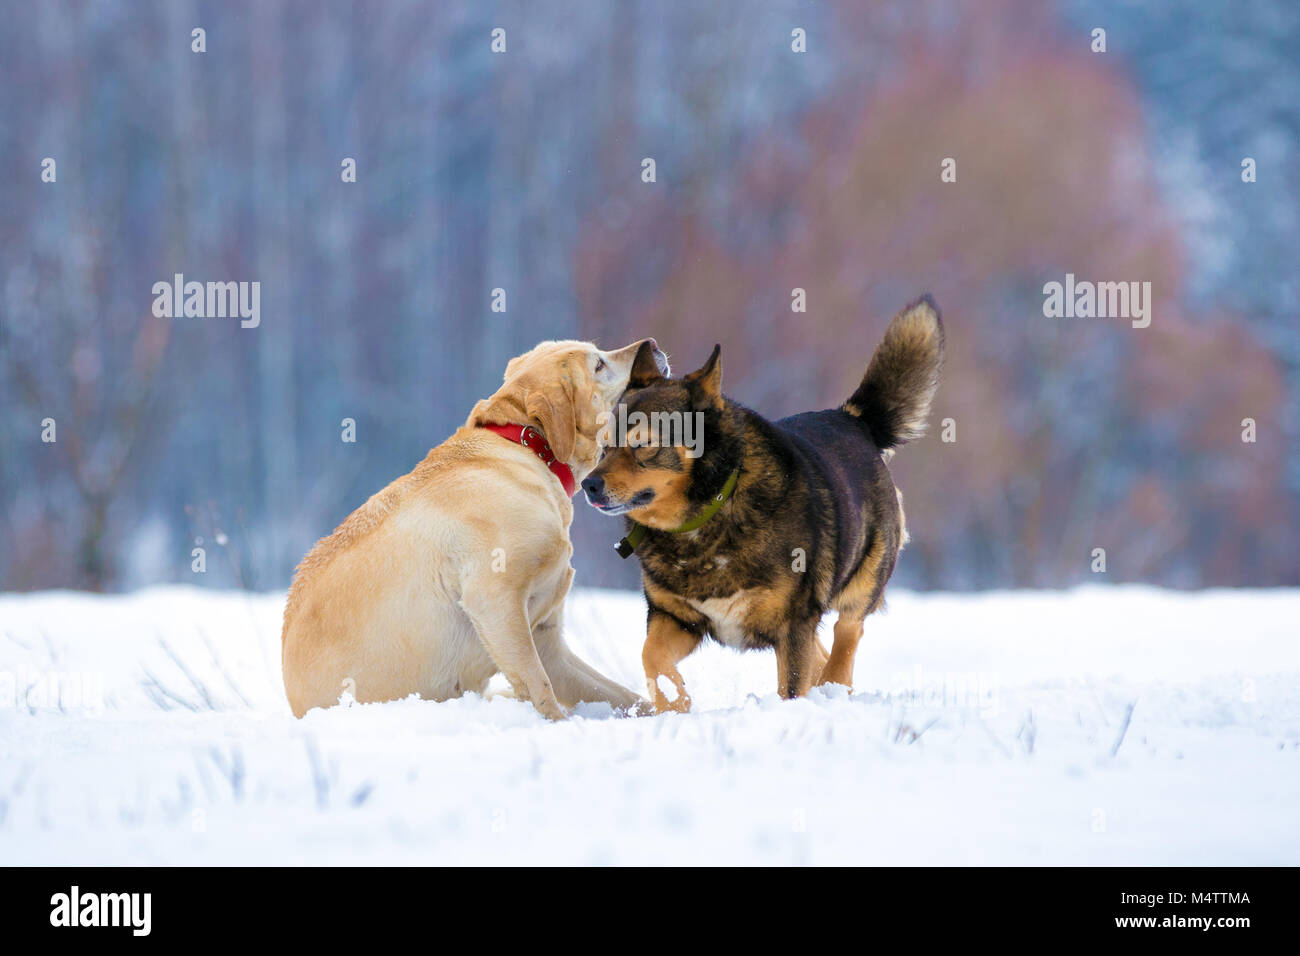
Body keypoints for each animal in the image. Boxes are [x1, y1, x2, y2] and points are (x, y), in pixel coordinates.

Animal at [585, 297, 941, 712]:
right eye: (604, 446)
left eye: (642, 444)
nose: (589, 485)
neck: (708, 512)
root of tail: (853, 419)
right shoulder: (676, 617)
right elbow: (650, 655)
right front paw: (675, 702)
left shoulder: (793, 623)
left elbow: (793, 686)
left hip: (865, 576)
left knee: (847, 633)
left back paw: (834, 686)